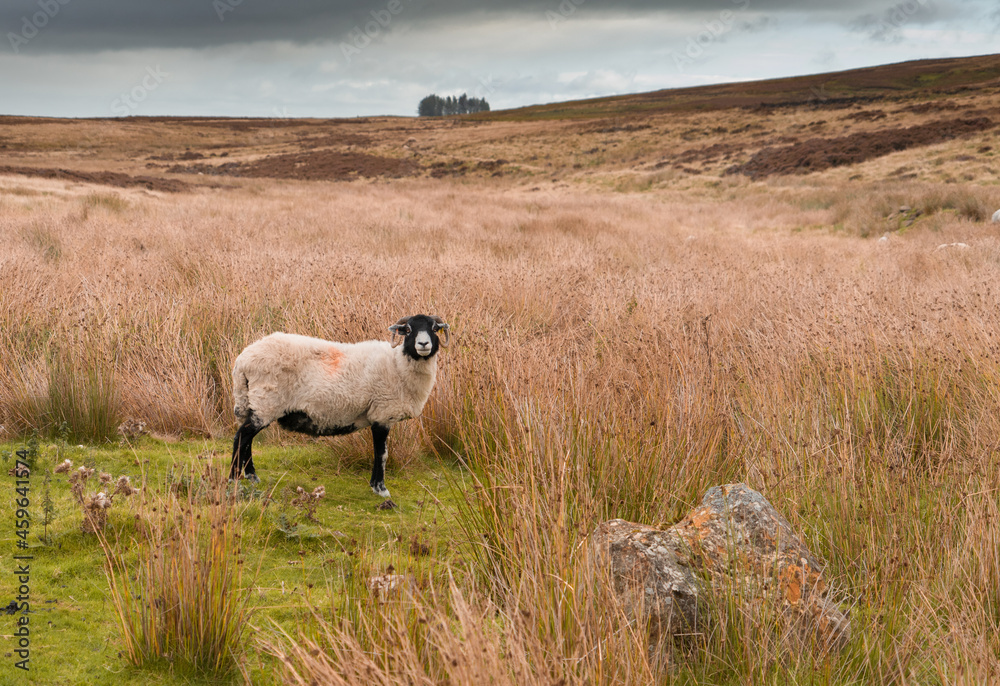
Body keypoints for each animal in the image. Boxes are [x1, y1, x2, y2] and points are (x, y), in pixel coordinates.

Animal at [229, 314, 449, 497]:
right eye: (409, 329)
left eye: (434, 328)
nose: (423, 344)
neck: (398, 365)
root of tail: (243, 360)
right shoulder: (382, 413)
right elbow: (382, 453)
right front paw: (381, 488)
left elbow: (378, 453)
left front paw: (374, 485)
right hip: (266, 401)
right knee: (241, 437)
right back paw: (234, 477)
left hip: (255, 403)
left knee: (247, 439)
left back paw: (251, 476)